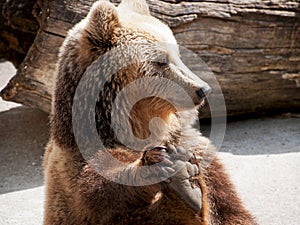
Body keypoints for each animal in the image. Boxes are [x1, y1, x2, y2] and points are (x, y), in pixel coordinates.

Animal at [43, 0, 256, 224]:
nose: (202, 89)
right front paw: (160, 165)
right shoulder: (74, 161)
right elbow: (96, 188)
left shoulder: (195, 148)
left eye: (178, 55)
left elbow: (231, 210)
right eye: (161, 61)